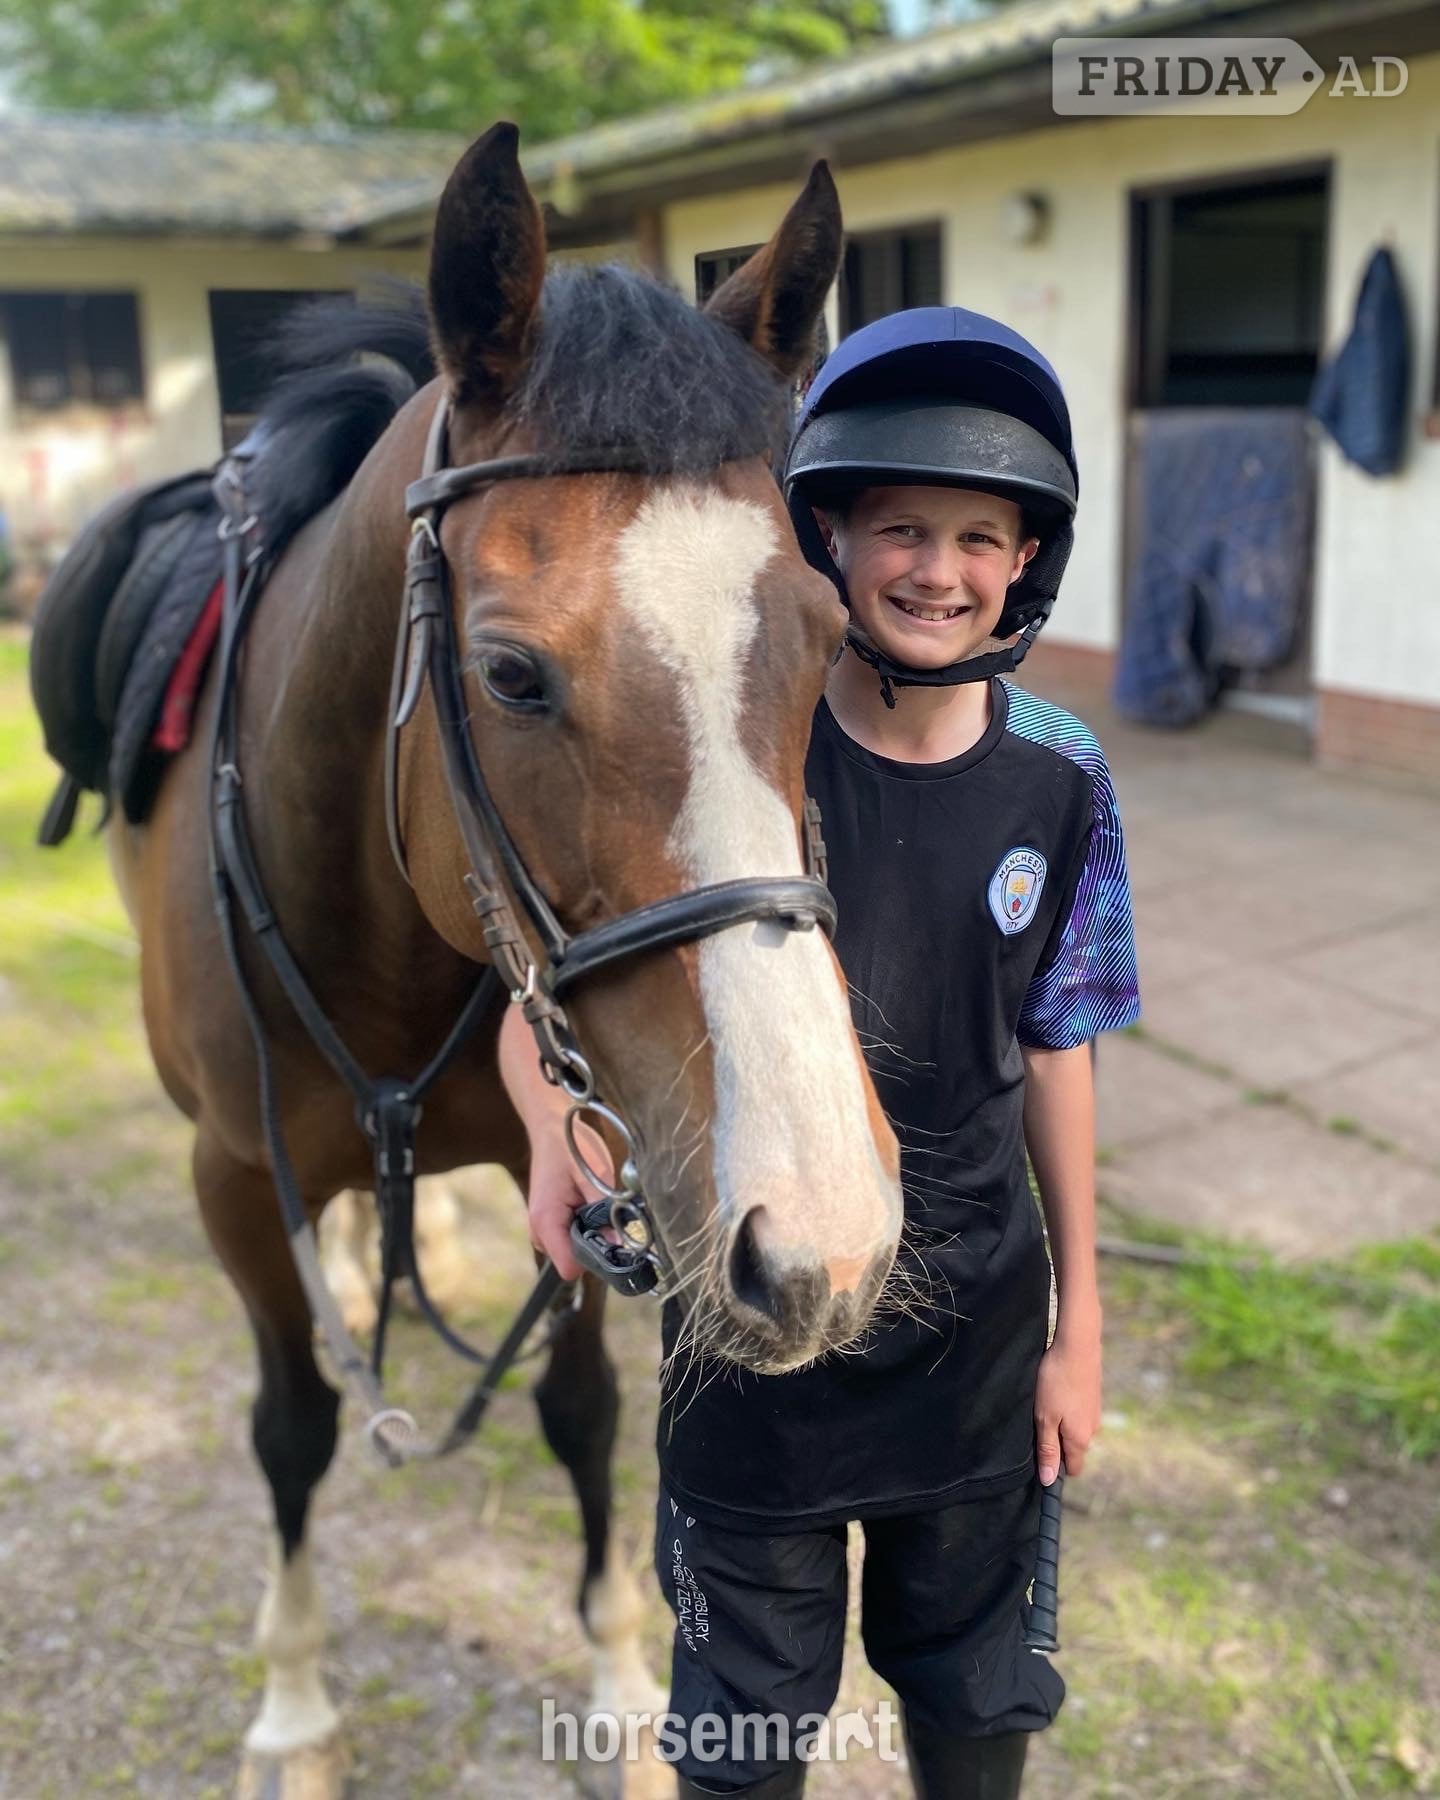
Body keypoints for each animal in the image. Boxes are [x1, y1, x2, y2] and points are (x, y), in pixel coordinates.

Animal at [100, 123, 903, 1793]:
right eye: (512, 675)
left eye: (828, 641)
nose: (830, 1244)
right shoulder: (229, 1179)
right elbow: (290, 1426)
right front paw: (294, 1712)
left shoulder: (601, 1158)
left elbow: (585, 1412)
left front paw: (617, 1693)